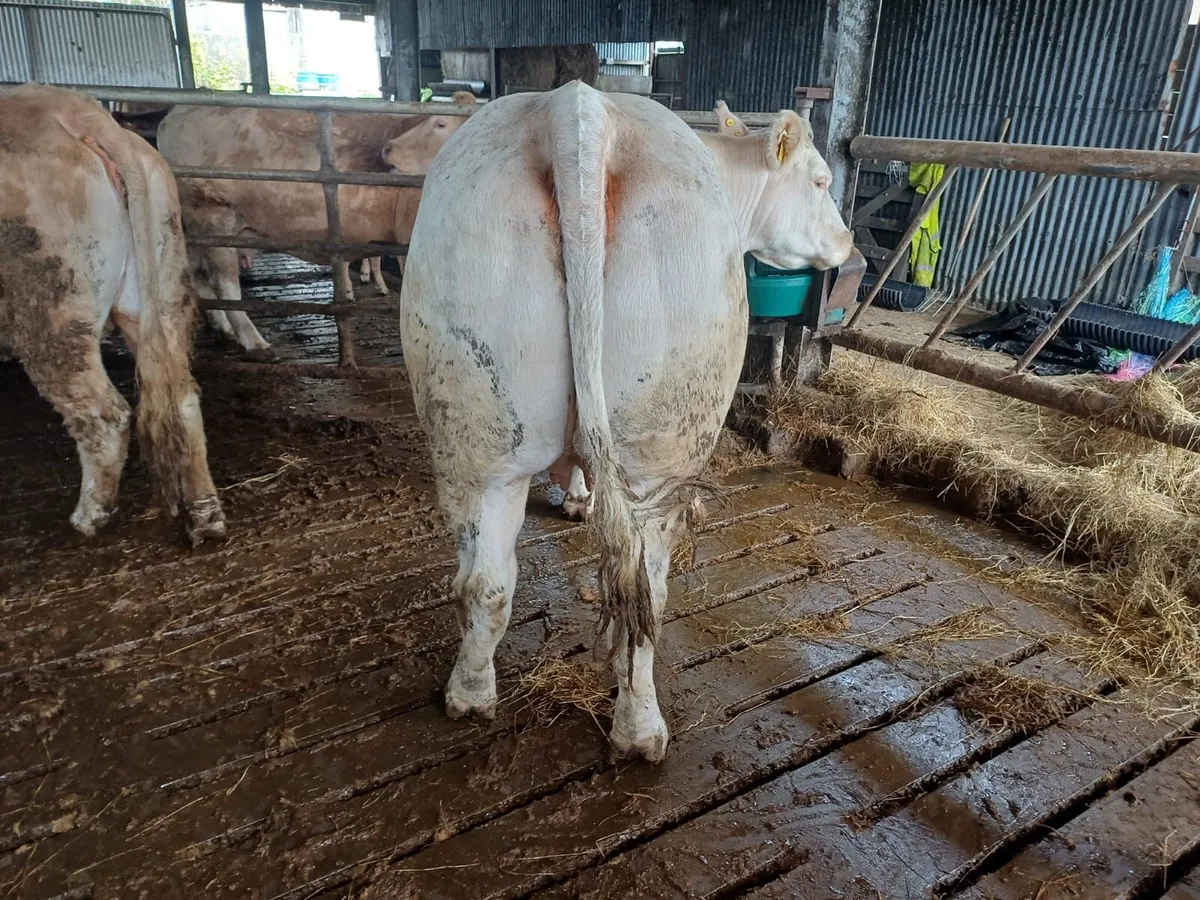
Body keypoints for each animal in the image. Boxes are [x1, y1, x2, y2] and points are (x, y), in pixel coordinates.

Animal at [0, 84, 226, 545]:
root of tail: (81, 114)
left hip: (52, 312)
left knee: (105, 416)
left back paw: (89, 517)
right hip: (159, 290)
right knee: (182, 397)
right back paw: (205, 515)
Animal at [156, 93, 476, 354]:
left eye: (440, 123)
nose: (387, 149)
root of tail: (174, 114)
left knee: (197, 276)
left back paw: (223, 328)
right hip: (212, 215)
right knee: (224, 285)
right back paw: (254, 341)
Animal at [399, 82, 852, 762]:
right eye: (822, 181)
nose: (850, 243)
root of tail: (576, 108)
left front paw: (574, 497)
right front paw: (582, 498)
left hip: (482, 432)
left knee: (488, 583)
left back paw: (473, 695)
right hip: (659, 443)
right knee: (646, 590)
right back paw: (640, 730)